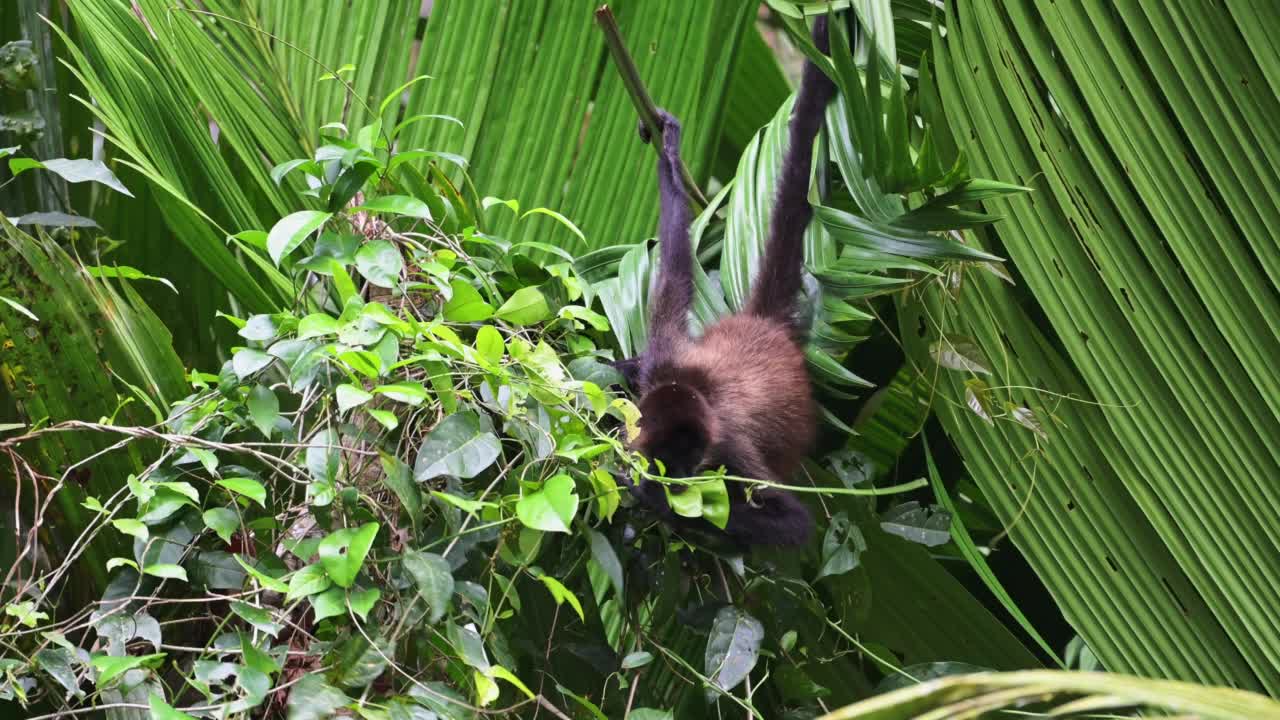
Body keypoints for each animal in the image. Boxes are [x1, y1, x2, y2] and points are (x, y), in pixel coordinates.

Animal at [616, 15, 839, 543]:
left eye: (691, 460)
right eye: (667, 459)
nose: (678, 480)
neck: (689, 385)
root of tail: (764, 325)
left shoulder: (728, 445)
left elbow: (795, 523)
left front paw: (656, 498)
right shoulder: (664, 356)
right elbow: (675, 271)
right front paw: (669, 150)